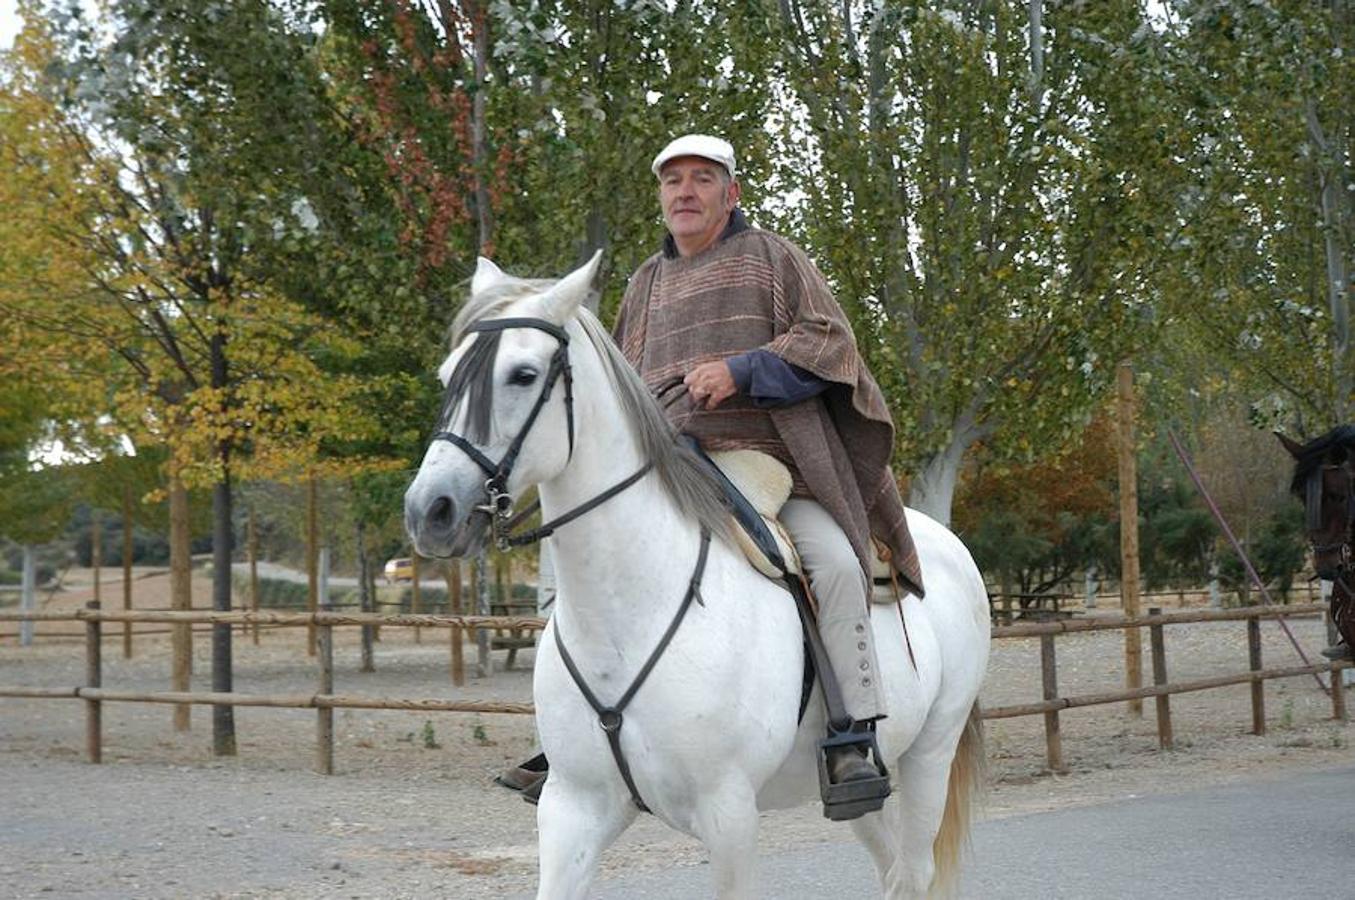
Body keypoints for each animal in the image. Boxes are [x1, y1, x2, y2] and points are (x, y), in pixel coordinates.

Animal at [406, 254, 991, 900]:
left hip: (929, 756)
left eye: (523, 374)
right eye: (448, 375)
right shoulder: (572, 809)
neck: (629, 613)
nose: (430, 511)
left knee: (913, 871)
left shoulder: (729, 815)